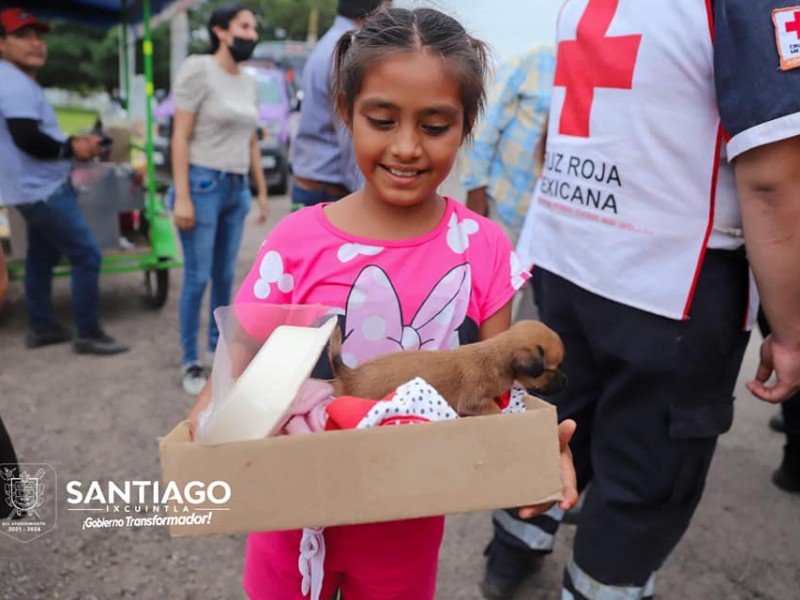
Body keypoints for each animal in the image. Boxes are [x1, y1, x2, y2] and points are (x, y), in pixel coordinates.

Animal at [328, 318, 564, 418]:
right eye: (551, 369)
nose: (566, 380)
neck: (498, 356)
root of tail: (350, 374)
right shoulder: (474, 401)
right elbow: (494, 410)